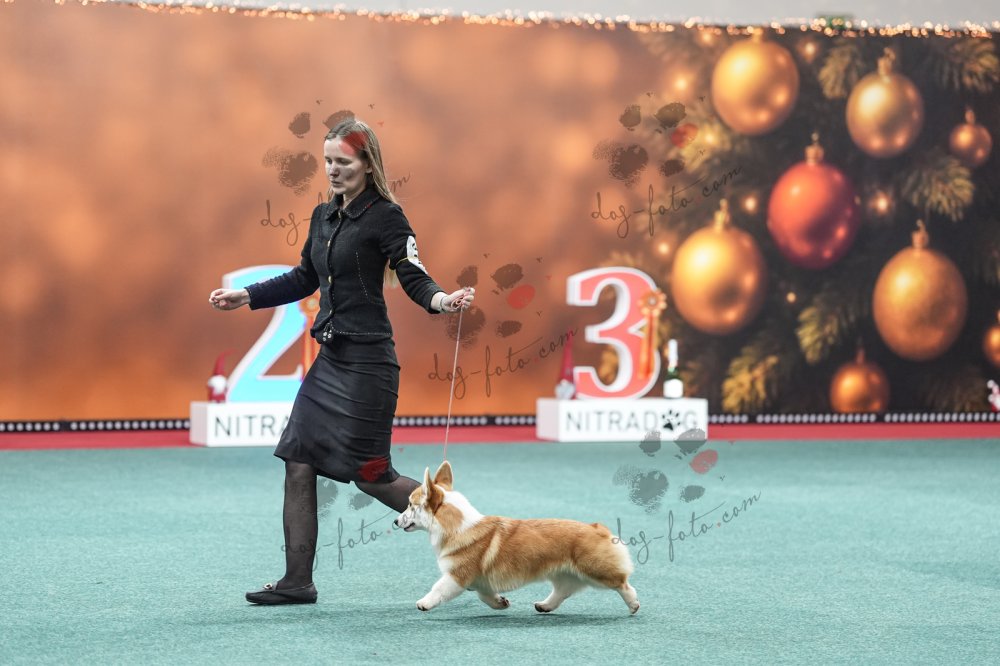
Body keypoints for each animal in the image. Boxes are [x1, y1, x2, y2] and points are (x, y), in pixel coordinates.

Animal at [394, 461, 640, 614]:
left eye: (410, 505)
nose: (395, 522)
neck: (457, 527)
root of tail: (597, 528)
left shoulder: (457, 576)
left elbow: (438, 589)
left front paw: (424, 603)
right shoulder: (480, 582)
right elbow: (485, 596)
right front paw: (500, 603)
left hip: (595, 570)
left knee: (622, 584)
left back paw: (633, 604)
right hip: (564, 574)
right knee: (562, 592)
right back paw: (544, 606)